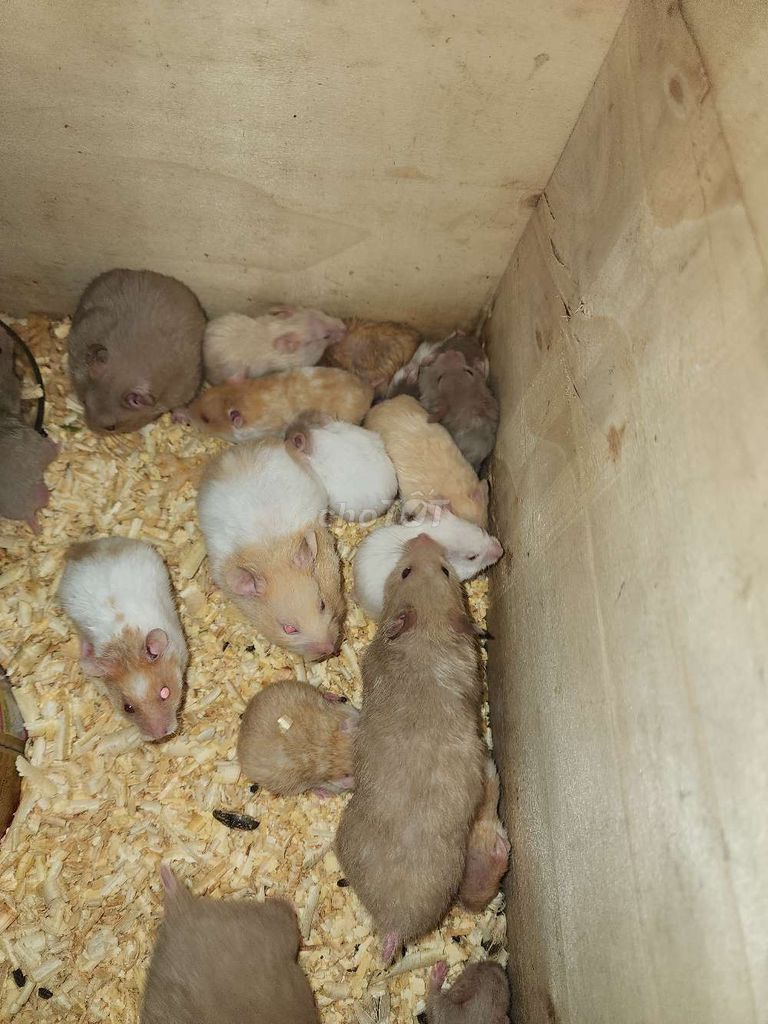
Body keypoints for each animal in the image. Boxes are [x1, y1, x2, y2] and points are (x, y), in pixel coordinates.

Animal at [68, 269, 206, 433]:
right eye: (84, 402)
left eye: (111, 427)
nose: (91, 430)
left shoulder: (185, 387)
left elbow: (181, 404)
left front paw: (180, 419)